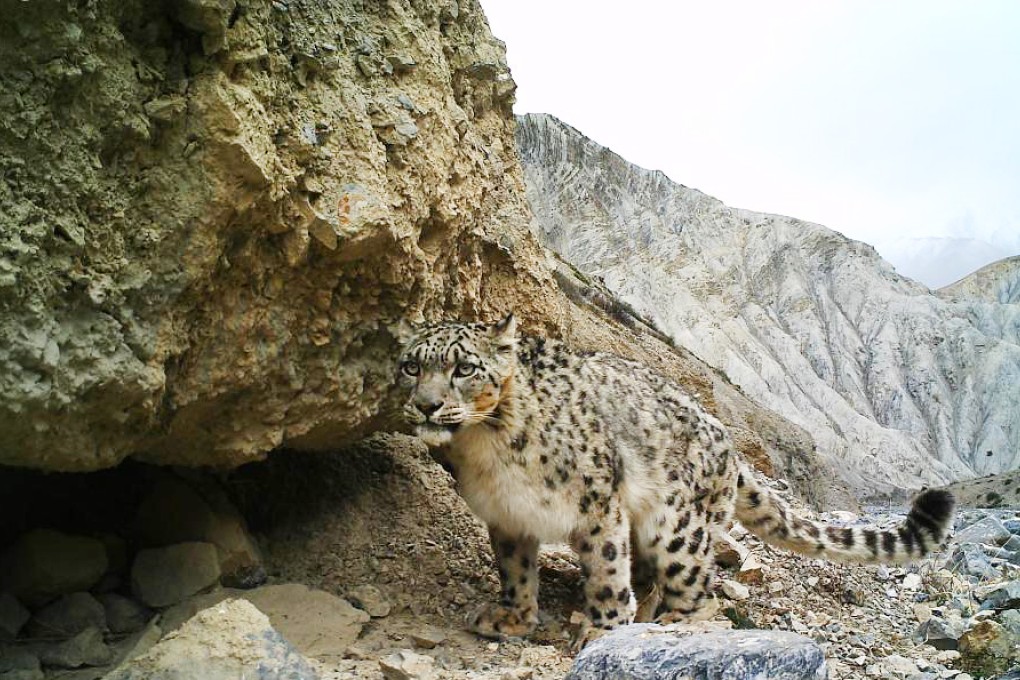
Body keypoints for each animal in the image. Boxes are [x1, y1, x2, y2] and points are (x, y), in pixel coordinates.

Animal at [397, 313, 955, 640]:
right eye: (410, 366)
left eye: (464, 368)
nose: (426, 405)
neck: (485, 450)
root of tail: (729, 443)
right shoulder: (508, 516)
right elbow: (515, 572)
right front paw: (512, 617)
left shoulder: (598, 505)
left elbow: (605, 570)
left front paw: (603, 630)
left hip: (678, 526)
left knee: (697, 584)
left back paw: (667, 621)